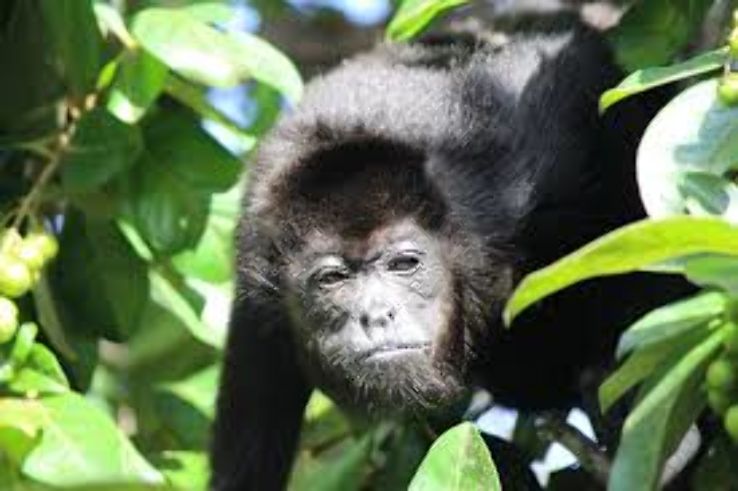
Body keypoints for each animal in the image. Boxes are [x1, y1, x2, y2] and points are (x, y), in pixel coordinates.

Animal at [209, 16, 685, 491]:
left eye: (404, 264)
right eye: (332, 279)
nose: (377, 315)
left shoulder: (506, 166)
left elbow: (585, 80)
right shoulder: (258, 310)